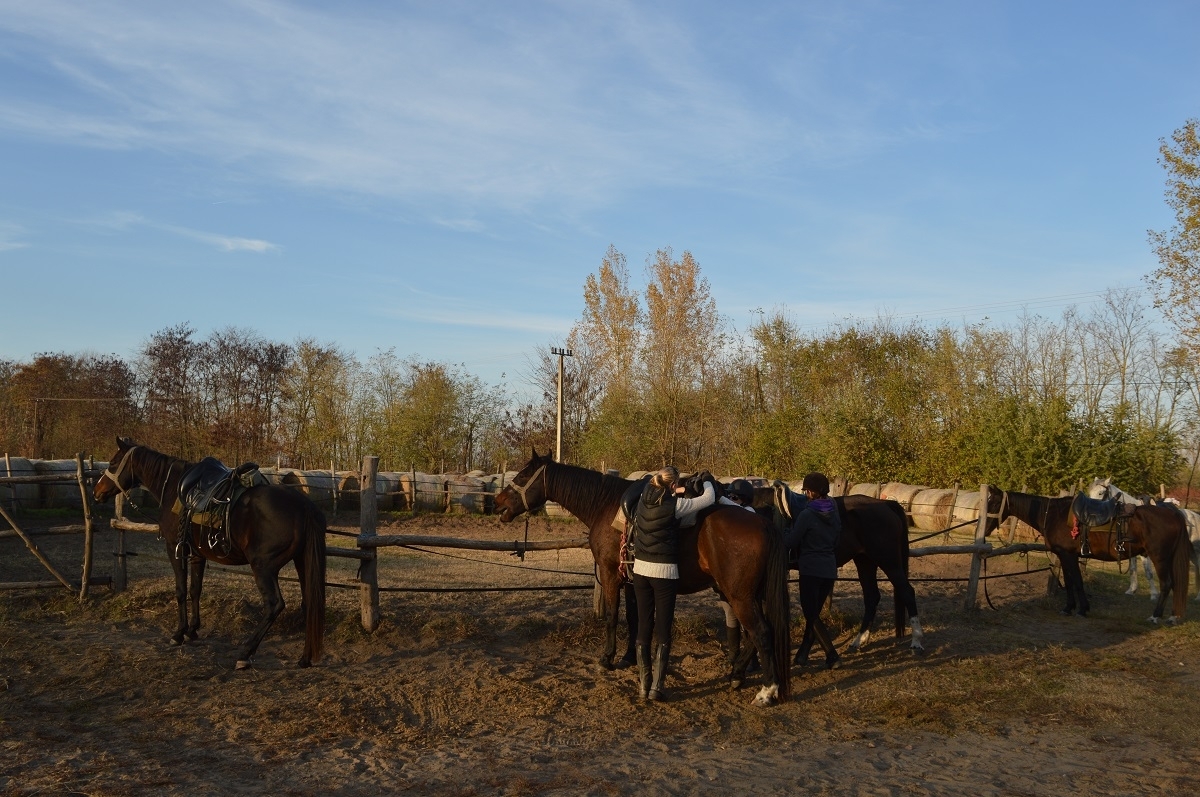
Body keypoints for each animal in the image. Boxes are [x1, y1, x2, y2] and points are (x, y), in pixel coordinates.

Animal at [93, 437, 327, 668]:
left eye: (113, 463)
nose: (97, 491)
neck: (174, 487)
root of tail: (303, 505)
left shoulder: (175, 548)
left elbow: (180, 590)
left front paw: (178, 634)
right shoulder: (198, 554)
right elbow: (195, 590)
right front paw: (192, 630)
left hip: (263, 567)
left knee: (274, 605)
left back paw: (245, 653)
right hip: (301, 562)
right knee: (309, 604)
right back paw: (305, 658)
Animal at [493, 451, 791, 706]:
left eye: (522, 476)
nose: (497, 502)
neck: (605, 505)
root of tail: (763, 523)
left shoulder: (611, 574)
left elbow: (613, 617)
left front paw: (607, 658)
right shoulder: (633, 580)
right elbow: (635, 620)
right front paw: (629, 658)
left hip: (740, 595)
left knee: (761, 632)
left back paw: (766, 692)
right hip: (748, 594)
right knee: (757, 634)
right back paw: (737, 674)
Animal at [992, 486, 1191, 622]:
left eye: (992, 501)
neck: (1053, 514)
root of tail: (1175, 515)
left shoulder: (1068, 555)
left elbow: (1077, 582)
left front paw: (1080, 610)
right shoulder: (1065, 555)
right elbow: (1070, 582)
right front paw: (1070, 608)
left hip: (1160, 558)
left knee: (1166, 584)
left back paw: (1155, 616)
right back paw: (1173, 616)